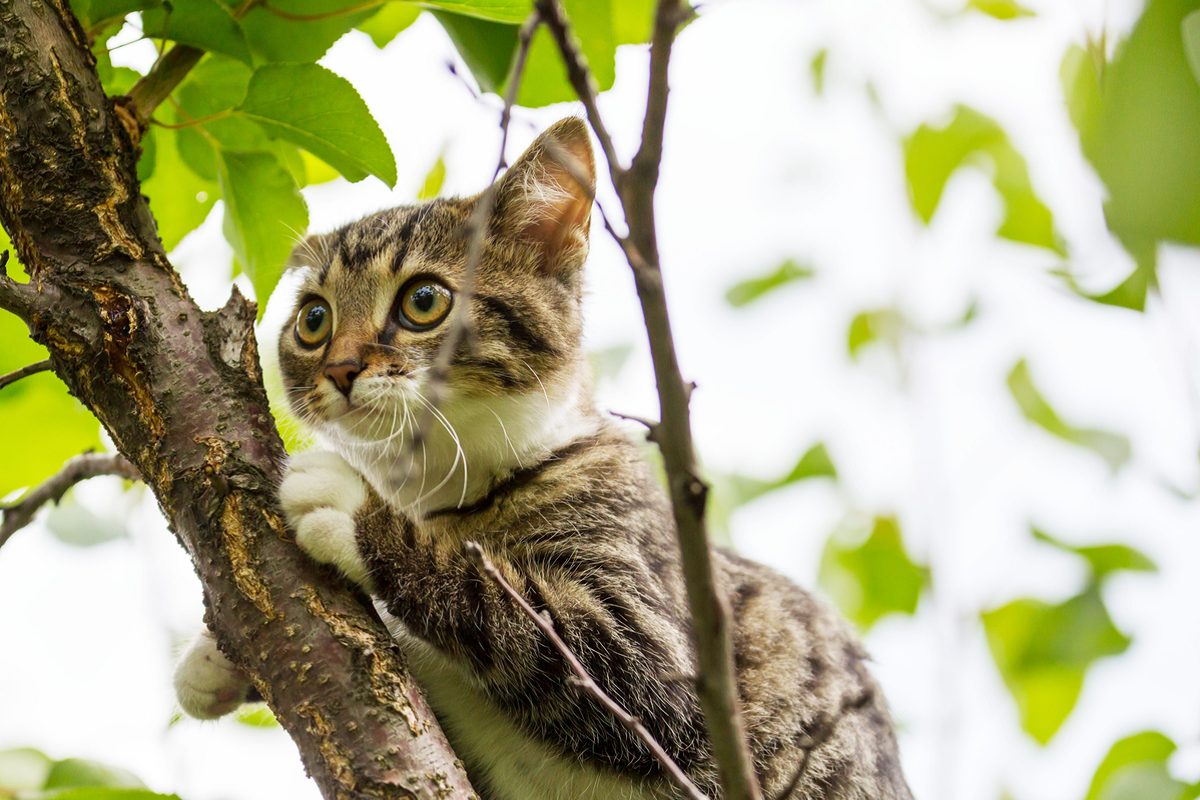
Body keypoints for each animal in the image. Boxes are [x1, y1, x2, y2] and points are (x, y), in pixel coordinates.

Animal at [174, 117, 912, 800]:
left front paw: (354, 511)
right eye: (314, 320)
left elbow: (513, 613)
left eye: (422, 301)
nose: (341, 368)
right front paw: (217, 662)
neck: (442, 486)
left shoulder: (666, 661)